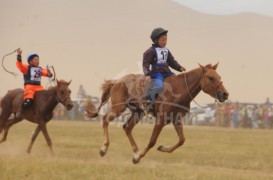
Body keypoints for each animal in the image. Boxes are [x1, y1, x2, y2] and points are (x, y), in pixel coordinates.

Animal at [85, 63, 227, 163]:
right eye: (211, 77)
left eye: (220, 77)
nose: (225, 94)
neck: (179, 90)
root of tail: (116, 81)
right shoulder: (161, 119)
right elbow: (152, 141)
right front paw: (138, 158)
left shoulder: (176, 119)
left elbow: (181, 140)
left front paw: (162, 148)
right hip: (119, 108)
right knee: (105, 119)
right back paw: (104, 149)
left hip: (138, 112)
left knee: (127, 127)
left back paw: (135, 151)